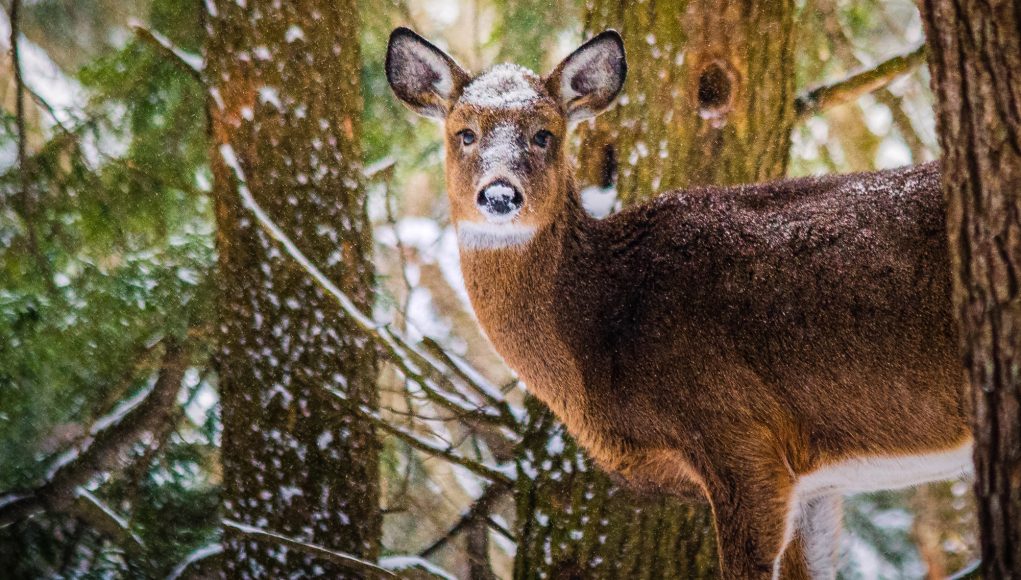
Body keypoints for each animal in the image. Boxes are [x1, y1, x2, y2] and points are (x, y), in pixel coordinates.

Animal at [385, 28, 972, 579]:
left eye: (544, 134)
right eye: (464, 133)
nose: (500, 194)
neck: (605, 326)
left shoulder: (739, 434)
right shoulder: (817, 481)